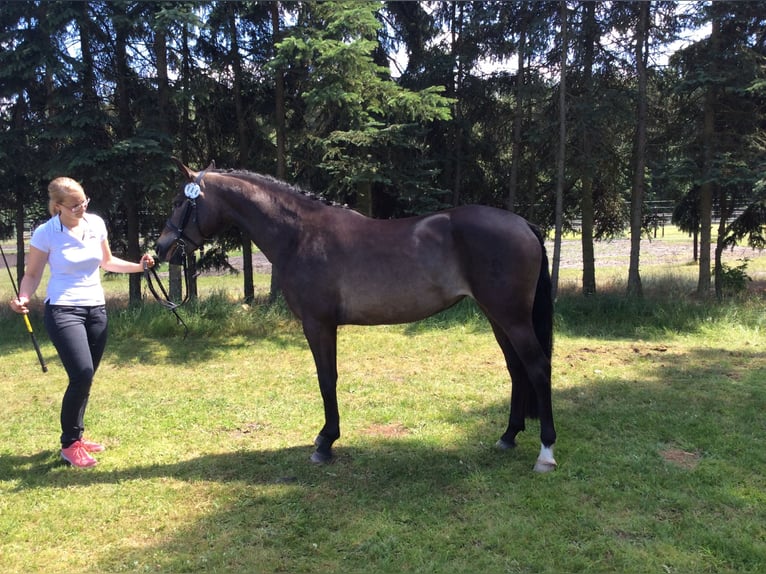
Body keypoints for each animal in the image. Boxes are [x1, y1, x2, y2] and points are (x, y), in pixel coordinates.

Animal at [155, 160, 557, 472]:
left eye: (178, 201)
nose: (161, 249)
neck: (300, 235)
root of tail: (524, 224)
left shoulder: (318, 324)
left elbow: (326, 379)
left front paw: (325, 442)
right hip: (497, 316)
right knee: (516, 368)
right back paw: (508, 436)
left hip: (511, 317)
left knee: (537, 367)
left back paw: (546, 453)